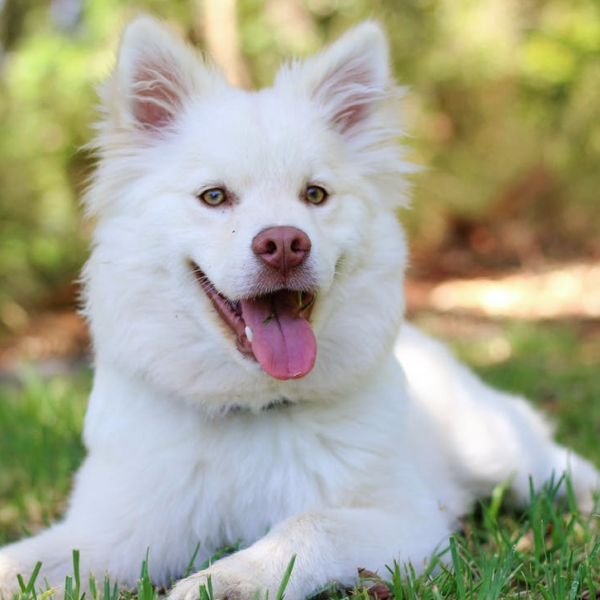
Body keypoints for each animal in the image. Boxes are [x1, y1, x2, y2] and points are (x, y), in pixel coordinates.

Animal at [0, 16, 596, 596]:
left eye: (315, 195)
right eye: (214, 196)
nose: (285, 243)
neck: (252, 410)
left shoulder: (412, 523)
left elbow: (307, 525)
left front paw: (226, 581)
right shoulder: (110, 533)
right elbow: (23, 561)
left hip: (495, 448)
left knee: (558, 463)